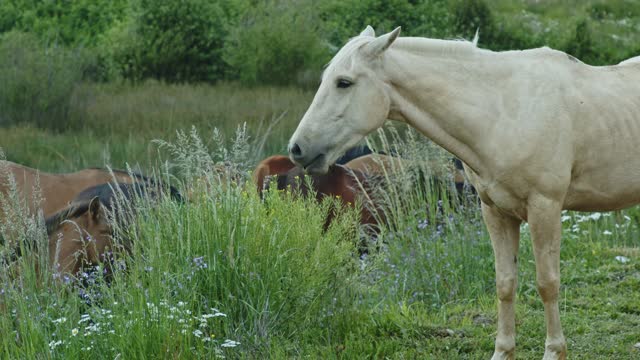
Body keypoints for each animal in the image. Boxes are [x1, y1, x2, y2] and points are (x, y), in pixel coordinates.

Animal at [288, 26, 640, 360]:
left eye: (344, 83)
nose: (297, 148)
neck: (503, 111)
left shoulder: (545, 208)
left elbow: (547, 283)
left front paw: (554, 351)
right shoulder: (495, 211)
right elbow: (505, 283)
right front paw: (503, 351)